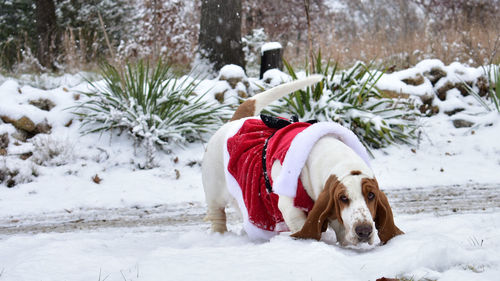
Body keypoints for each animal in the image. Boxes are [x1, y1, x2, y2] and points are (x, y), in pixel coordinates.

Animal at [202, 75, 402, 245]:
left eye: (371, 195)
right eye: (343, 198)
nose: (364, 231)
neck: (341, 163)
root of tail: (234, 122)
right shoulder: (291, 208)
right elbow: (303, 225)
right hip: (214, 192)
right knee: (217, 215)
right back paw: (220, 235)